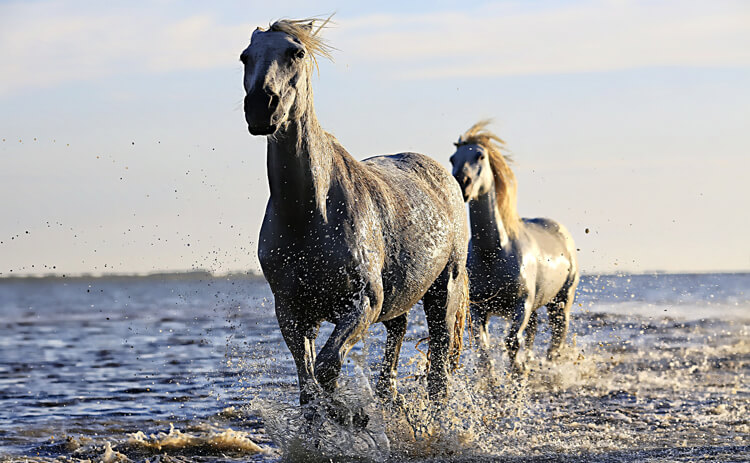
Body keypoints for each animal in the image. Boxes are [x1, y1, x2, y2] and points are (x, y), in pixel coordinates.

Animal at [450, 121, 580, 376]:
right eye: (453, 158)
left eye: (480, 156)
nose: (462, 182)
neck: (493, 253)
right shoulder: (479, 309)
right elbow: (484, 349)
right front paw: (493, 380)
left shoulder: (522, 304)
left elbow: (512, 343)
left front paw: (517, 373)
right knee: (533, 331)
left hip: (561, 301)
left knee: (557, 336)